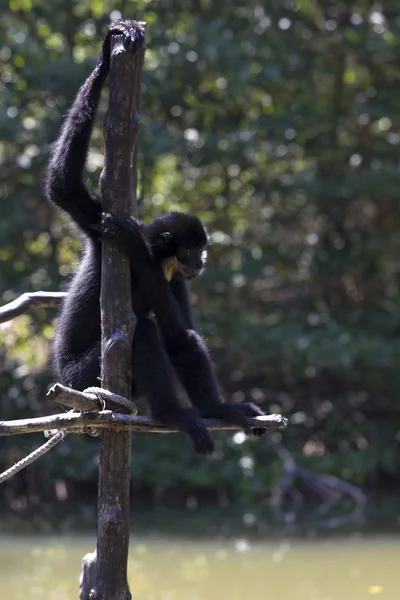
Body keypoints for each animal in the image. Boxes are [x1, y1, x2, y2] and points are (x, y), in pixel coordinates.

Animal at [45, 22, 266, 454]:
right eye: (192, 249)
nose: (201, 262)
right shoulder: (101, 229)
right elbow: (63, 187)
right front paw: (104, 59)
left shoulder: (174, 277)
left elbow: (181, 335)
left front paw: (221, 408)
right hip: (80, 378)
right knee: (142, 334)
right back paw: (172, 415)